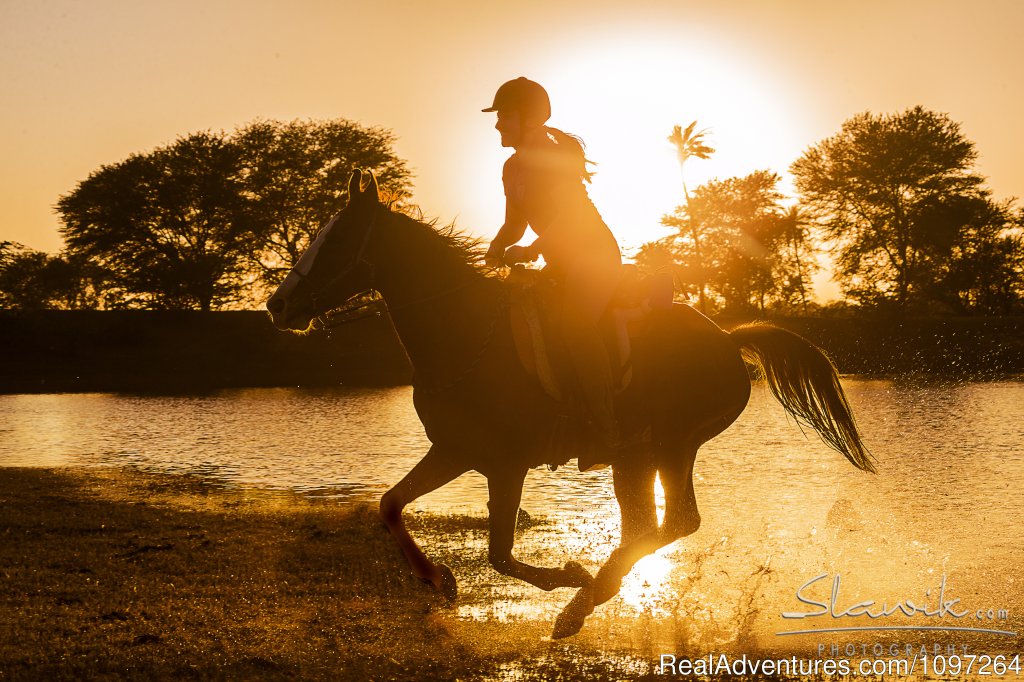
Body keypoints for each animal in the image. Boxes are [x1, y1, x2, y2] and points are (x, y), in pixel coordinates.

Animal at [264, 169, 872, 638]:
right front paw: (439, 579)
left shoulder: (505, 463)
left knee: (667, 525)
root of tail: (728, 335)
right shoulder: (455, 451)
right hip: (642, 454)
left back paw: (581, 603)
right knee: (653, 528)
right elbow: (390, 505)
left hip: (666, 444)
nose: (277, 306)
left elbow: (500, 554)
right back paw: (596, 594)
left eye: (336, 242)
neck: (465, 332)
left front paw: (567, 578)